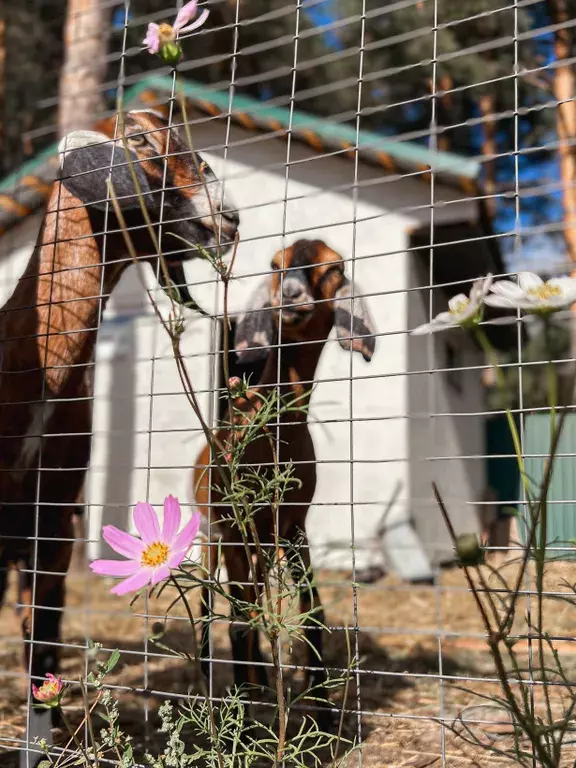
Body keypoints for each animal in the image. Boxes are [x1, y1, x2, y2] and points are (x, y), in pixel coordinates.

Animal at [194, 238, 378, 720]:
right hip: (212, 534)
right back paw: (217, 678)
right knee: (212, 604)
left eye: (334, 268)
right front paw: (243, 719)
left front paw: (323, 707)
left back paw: (258, 680)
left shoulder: (294, 525)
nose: (291, 295)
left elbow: (313, 608)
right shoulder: (235, 529)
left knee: (251, 598)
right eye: (275, 265)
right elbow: (238, 620)